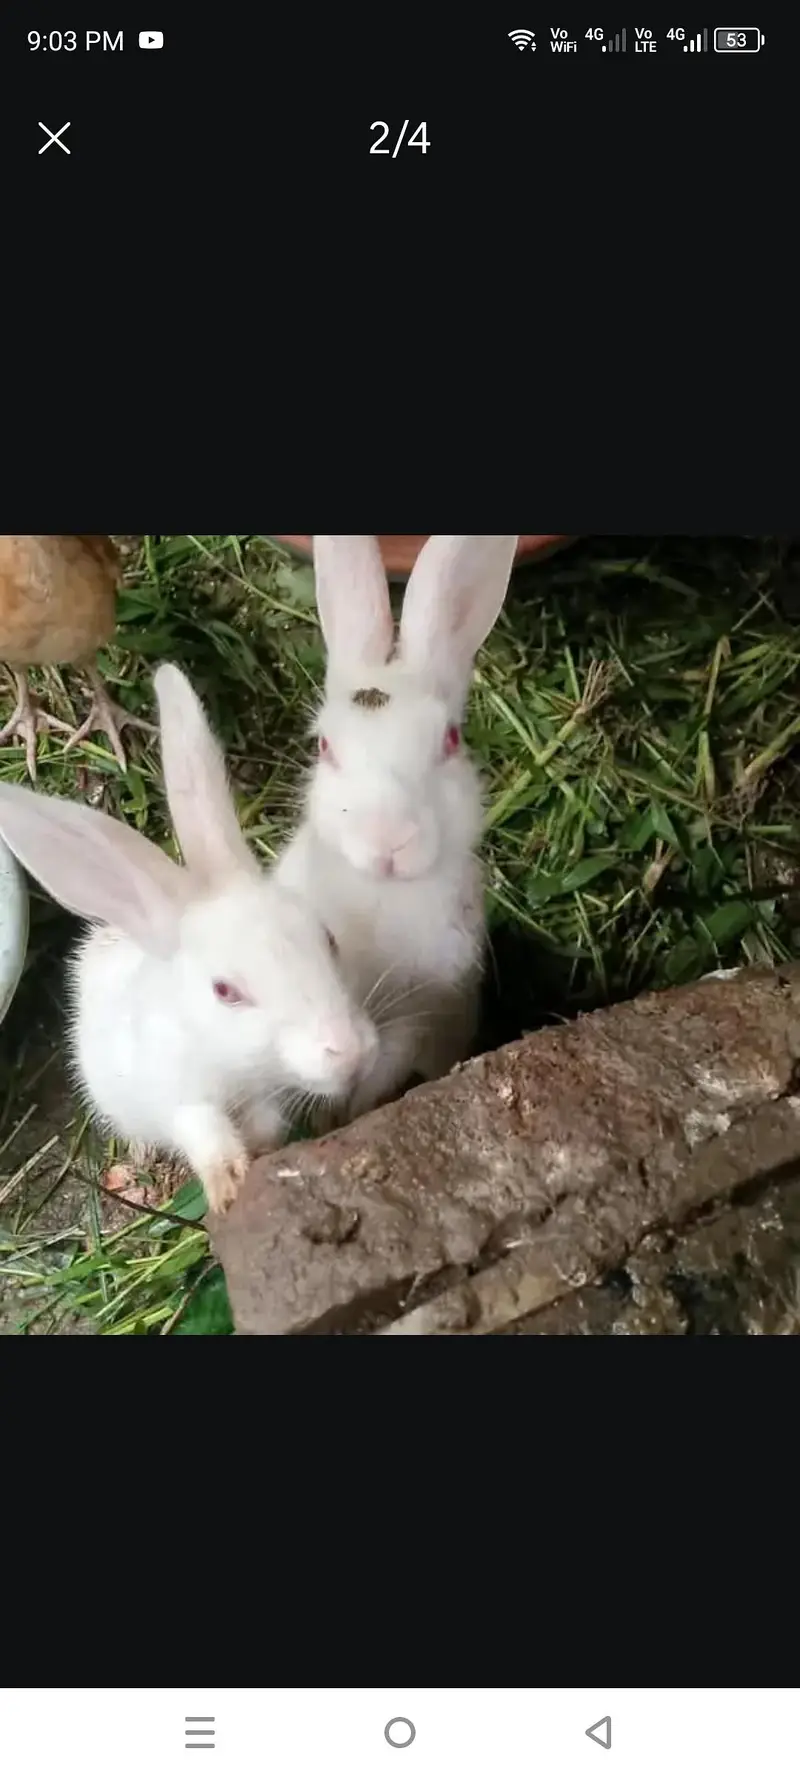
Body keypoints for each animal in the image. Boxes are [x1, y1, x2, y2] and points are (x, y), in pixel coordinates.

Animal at [0, 663, 379, 1214]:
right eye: (225, 991)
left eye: (327, 938)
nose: (349, 1052)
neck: (233, 1062)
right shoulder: (180, 1096)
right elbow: (205, 1132)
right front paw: (228, 1186)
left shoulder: (264, 1095)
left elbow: (266, 1123)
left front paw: (262, 1151)